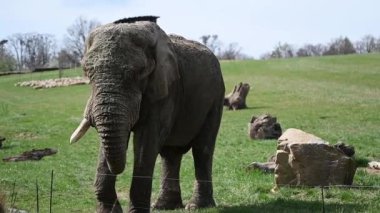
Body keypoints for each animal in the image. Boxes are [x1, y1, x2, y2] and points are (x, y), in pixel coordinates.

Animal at [70, 15, 224, 212]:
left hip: (216, 97)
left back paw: (196, 206)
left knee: (202, 149)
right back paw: (164, 206)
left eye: (139, 72)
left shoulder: (165, 89)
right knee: (171, 154)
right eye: (87, 73)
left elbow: (146, 141)